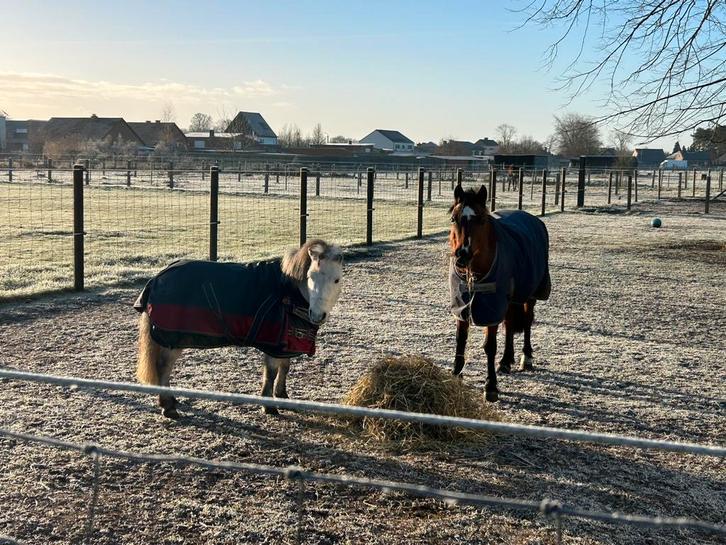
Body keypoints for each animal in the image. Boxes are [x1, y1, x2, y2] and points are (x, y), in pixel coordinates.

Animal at [134, 239, 344, 418]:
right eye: (310, 276)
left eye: (337, 280)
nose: (316, 315)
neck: (288, 293)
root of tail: (156, 278)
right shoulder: (273, 344)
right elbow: (271, 373)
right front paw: (269, 406)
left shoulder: (285, 345)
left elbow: (285, 368)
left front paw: (282, 396)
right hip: (174, 340)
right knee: (163, 367)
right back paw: (168, 406)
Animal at [448, 184, 551, 402]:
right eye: (454, 218)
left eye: (481, 220)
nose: (462, 255)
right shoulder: (461, 306)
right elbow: (460, 341)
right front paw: (455, 374)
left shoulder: (491, 308)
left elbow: (490, 346)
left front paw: (491, 387)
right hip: (510, 300)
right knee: (510, 324)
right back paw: (505, 361)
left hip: (529, 294)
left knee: (527, 322)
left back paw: (526, 357)